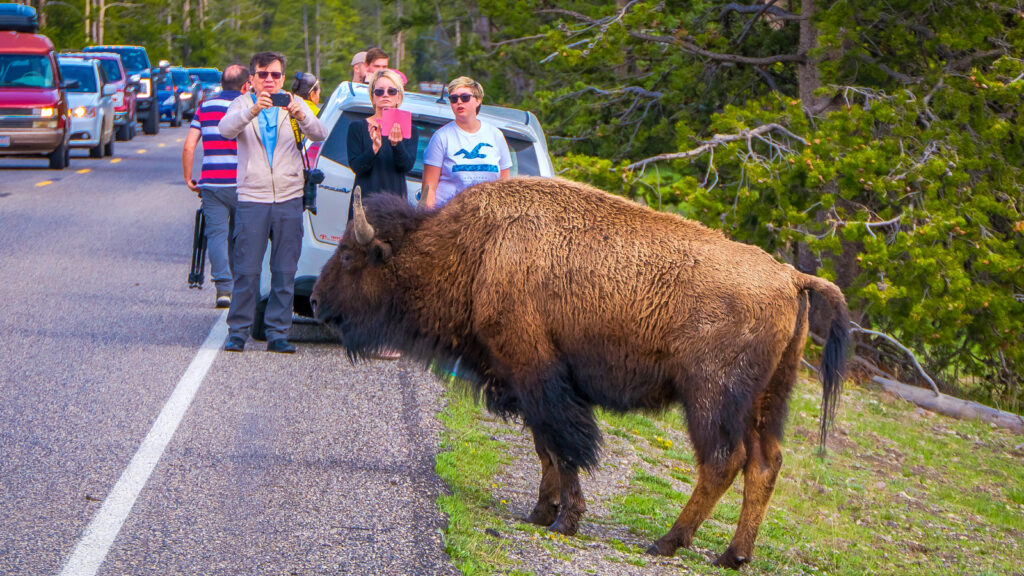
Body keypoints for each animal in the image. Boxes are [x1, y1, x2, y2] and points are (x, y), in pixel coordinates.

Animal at [310, 177, 849, 569]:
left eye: (352, 256)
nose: (314, 301)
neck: (477, 250)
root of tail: (791, 277)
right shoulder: (524, 381)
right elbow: (545, 448)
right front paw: (539, 512)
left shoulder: (538, 374)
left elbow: (565, 447)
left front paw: (565, 520)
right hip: (766, 402)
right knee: (764, 464)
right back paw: (732, 555)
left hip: (710, 398)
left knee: (722, 462)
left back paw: (667, 542)